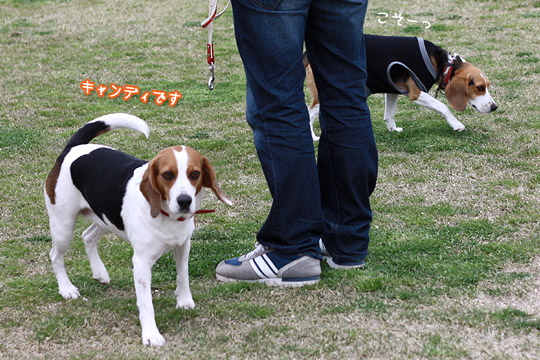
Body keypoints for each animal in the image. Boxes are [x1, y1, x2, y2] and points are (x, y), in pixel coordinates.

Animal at [43, 114, 232, 348]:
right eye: (167, 175)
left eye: (195, 174)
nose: (185, 201)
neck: (167, 216)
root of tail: (72, 148)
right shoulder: (141, 262)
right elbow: (146, 302)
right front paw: (151, 334)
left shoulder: (183, 246)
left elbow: (183, 276)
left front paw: (184, 300)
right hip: (63, 225)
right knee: (56, 256)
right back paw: (67, 289)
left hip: (106, 218)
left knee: (87, 236)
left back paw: (99, 272)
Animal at [304, 34, 498, 139]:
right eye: (480, 88)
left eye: (487, 86)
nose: (495, 107)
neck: (445, 65)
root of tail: (308, 52)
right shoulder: (416, 92)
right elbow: (443, 106)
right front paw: (456, 124)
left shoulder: (392, 90)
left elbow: (389, 114)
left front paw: (393, 129)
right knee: (308, 112)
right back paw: (312, 137)